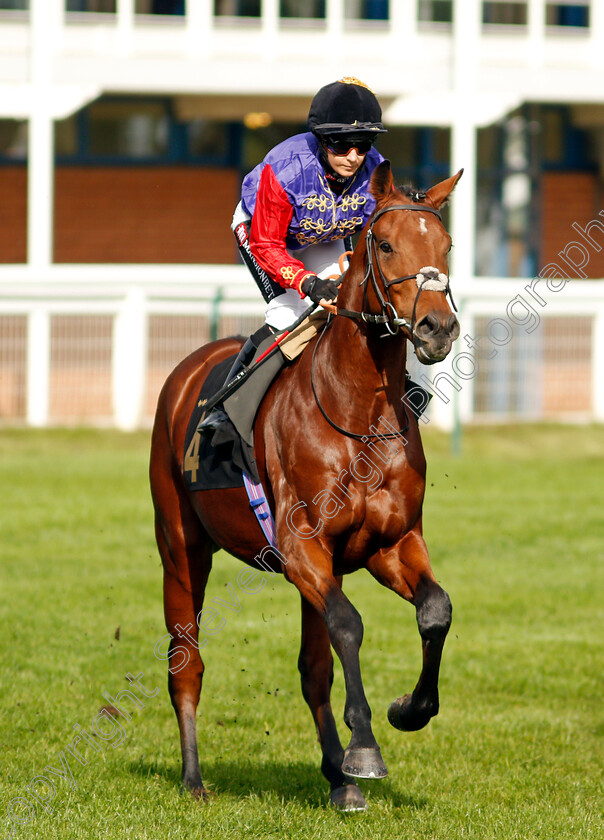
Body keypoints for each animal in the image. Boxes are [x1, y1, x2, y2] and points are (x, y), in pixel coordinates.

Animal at [150, 159, 462, 812]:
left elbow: (435, 610)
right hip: (181, 548)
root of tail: (187, 369)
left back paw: (338, 779)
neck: (357, 413)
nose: (437, 328)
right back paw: (193, 777)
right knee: (185, 659)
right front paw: (365, 750)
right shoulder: (301, 549)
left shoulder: (388, 545)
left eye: (445, 244)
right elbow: (350, 626)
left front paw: (407, 711)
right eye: (385, 243)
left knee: (314, 669)